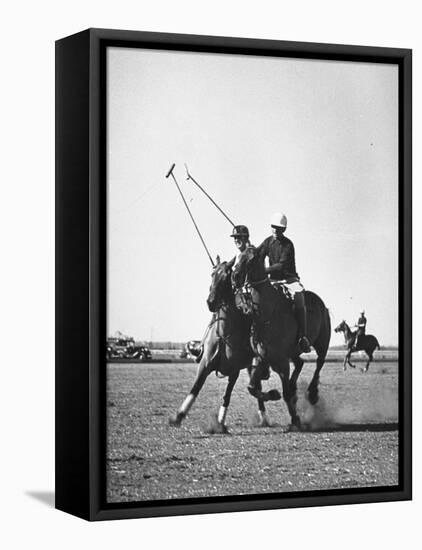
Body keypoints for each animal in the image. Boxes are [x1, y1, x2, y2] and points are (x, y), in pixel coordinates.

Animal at [168, 258, 280, 436]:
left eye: (227, 276)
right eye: (212, 274)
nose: (211, 302)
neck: (225, 334)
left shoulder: (234, 370)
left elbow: (226, 396)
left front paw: (220, 423)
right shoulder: (204, 365)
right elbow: (195, 388)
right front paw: (178, 416)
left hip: (253, 364)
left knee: (256, 387)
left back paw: (264, 416)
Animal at [231, 247, 332, 432]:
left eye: (252, 258)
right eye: (238, 257)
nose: (235, 277)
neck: (266, 315)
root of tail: (321, 303)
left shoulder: (282, 362)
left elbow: (285, 393)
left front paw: (295, 420)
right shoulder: (263, 358)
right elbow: (252, 388)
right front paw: (273, 394)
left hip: (322, 342)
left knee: (319, 362)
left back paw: (312, 393)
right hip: (294, 352)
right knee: (300, 363)